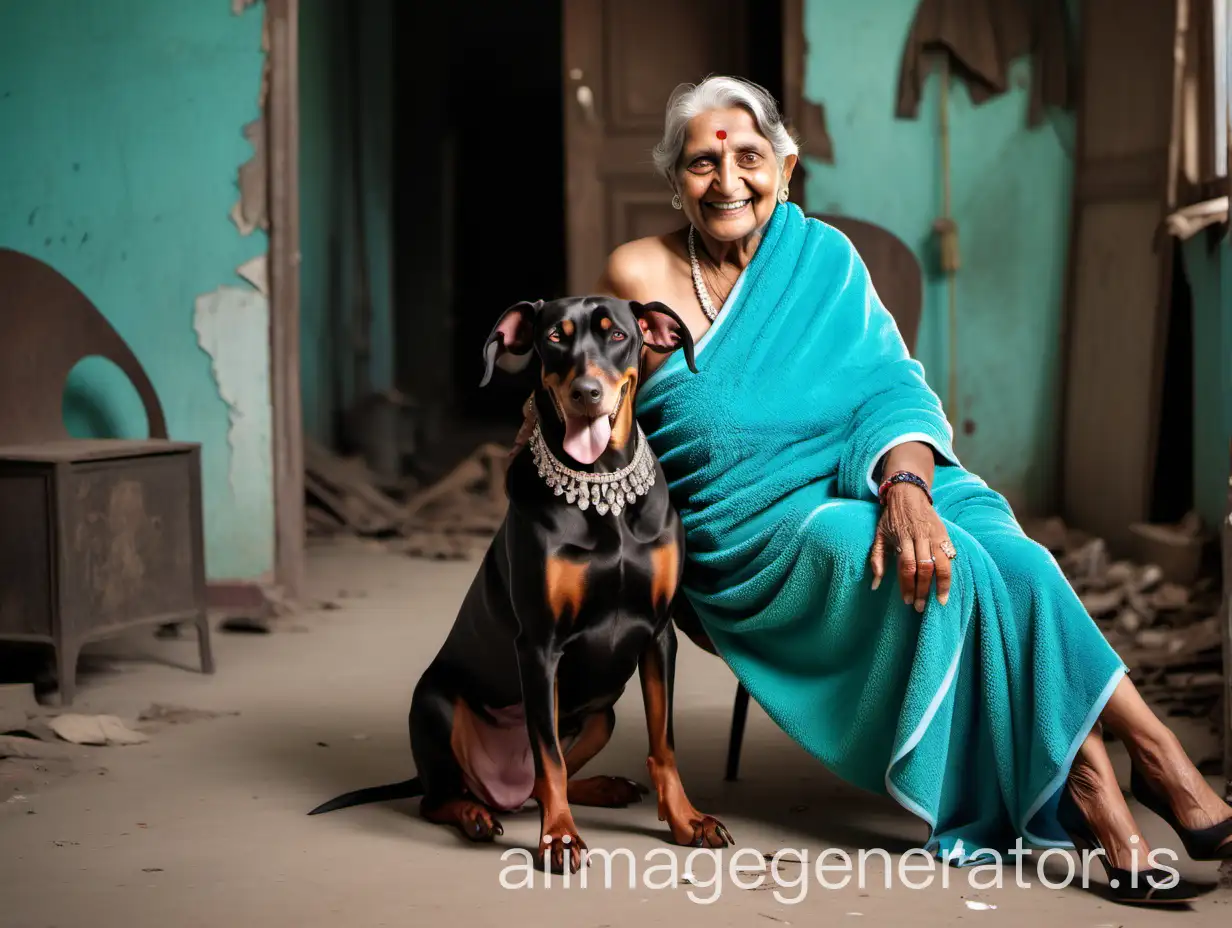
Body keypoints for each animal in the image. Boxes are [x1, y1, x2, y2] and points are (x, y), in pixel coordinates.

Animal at [308, 294, 729, 867]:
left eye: (618, 335)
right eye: (554, 337)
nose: (586, 393)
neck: (602, 486)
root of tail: (497, 789)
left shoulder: (658, 634)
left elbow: (662, 743)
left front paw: (687, 820)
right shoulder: (539, 647)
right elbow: (548, 756)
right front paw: (561, 838)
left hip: (601, 715)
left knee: (538, 783)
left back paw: (602, 788)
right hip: (436, 703)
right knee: (448, 796)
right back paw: (476, 816)